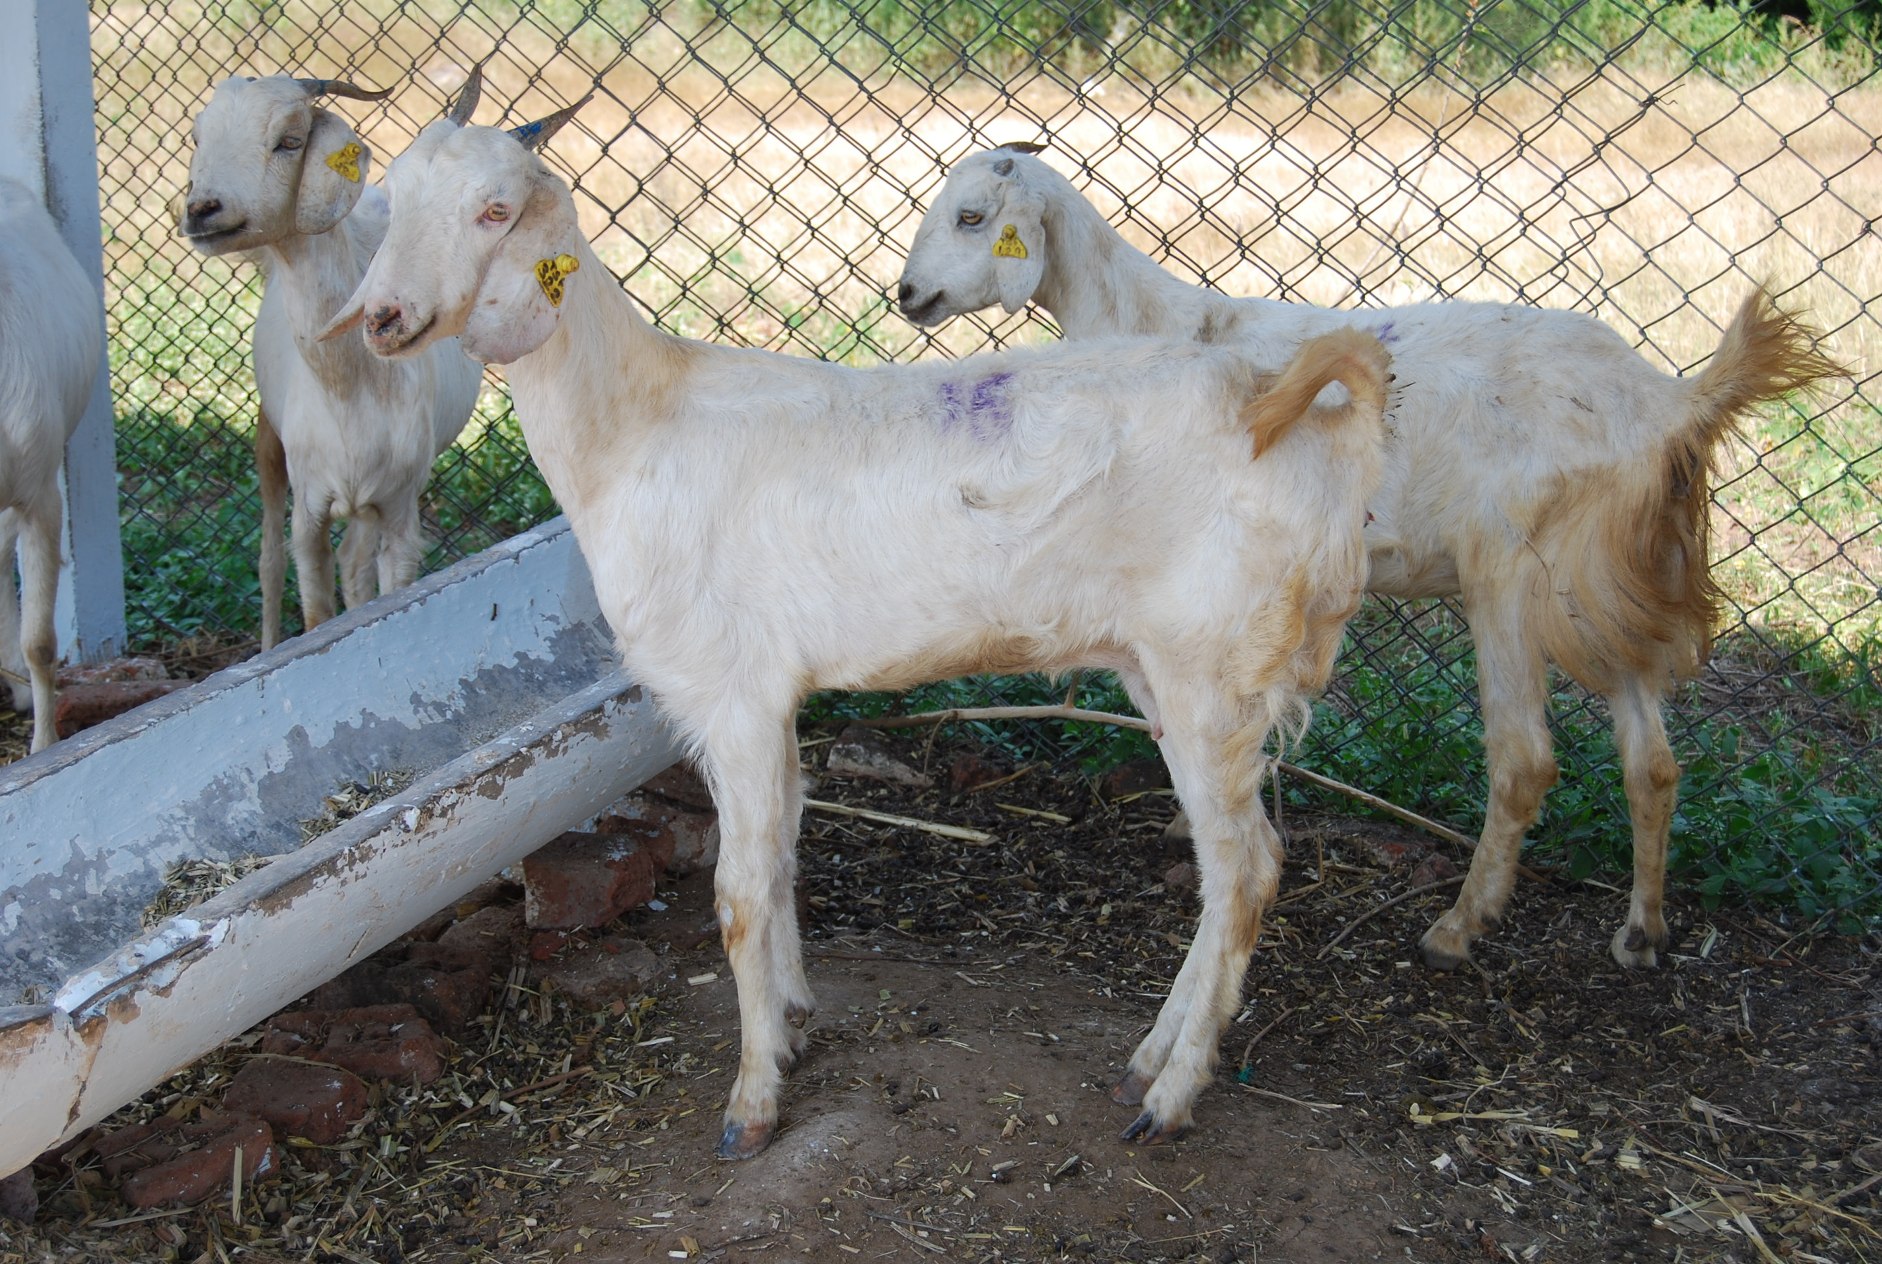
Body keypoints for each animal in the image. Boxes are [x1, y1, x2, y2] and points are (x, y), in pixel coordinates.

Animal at [181, 73, 483, 648]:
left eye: (289, 141)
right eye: (196, 138)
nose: (202, 210)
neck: (352, 387)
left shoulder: (400, 506)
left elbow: (390, 593)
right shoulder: (310, 507)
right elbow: (315, 611)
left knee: (354, 565)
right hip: (269, 437)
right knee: (270, 560)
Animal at [319, 104, 1392, 1158]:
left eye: (495, 210)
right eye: (390, 200)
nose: (383, 320)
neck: (636, 427)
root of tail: (1282, 413)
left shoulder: (733, 693)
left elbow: (739, 897)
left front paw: (751, 1102)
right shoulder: (767, 699)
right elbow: (785, 855)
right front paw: (793, 1016)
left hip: (1216, 668)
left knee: (1246, 869)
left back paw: (1170, 1097)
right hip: (1160, 669)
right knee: (1224, 871)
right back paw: (1150, 1057)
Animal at [896, 144, 1844, 972]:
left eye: (973, 216)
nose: (908, 294)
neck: (1155, 322)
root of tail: (1670, 403)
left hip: (1510, 570)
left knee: (1525, 760)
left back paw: (1458, 928)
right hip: (1600, 586)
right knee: (1652, 761)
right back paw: (1642, 932)